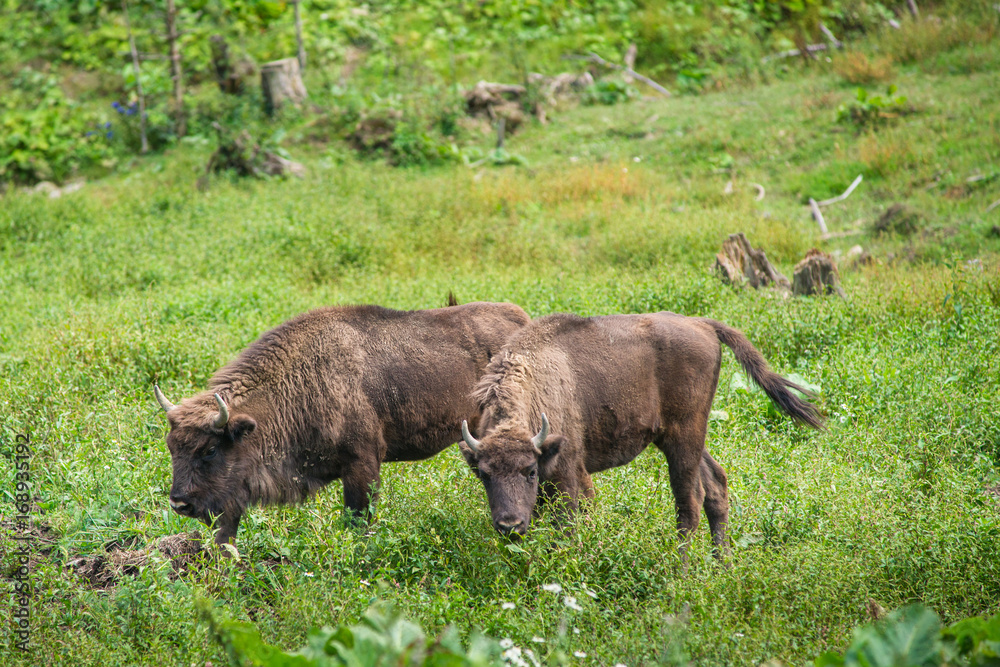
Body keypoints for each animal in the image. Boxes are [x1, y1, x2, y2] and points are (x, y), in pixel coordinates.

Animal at [154, 302, 532, 544]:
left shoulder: (362, 466)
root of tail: (521, 320)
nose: (179, 503)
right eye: (172, 447)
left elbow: (358, 519)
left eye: (210, 449)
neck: (301, 380)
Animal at [458, 314, 824, 560]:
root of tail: (703, 324)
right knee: (716, 485)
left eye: (530, 471)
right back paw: (723, 566)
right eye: (484, 475)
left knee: (689, 502)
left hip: (684, 437)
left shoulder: (568, 473)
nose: (509, 525)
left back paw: (682, 573)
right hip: (683, 438)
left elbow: (568, 525)